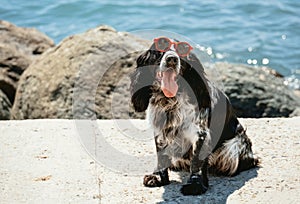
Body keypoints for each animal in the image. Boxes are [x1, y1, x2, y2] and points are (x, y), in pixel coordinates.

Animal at [130, 37, 258, 196]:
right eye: (161, 46)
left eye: (182, 50)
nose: (172, 59)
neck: (170, 101)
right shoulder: (159, 129)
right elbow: (161, 156)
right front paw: (158, 177)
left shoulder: (200, 133)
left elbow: (197, 161)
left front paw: (195, 184)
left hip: (233, 147)